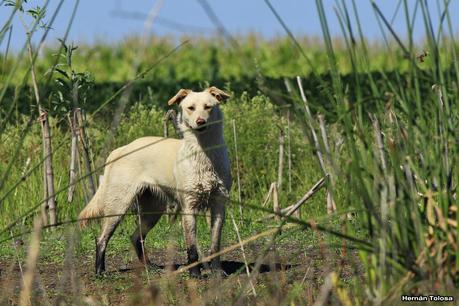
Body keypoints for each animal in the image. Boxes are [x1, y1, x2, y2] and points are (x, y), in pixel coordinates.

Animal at [78, 86, 234, 278]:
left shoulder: (219, 205)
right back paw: (100, 271)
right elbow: (191, 248)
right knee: (101, 239)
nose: (200, 122)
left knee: (136, 237)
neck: (204, 154)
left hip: (153, 210)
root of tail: (121, 149)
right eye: (190, 108)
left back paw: (149, 267)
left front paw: (217, 272)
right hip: (118, 206)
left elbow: (215, 245)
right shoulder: (189, 207)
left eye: (208, 107)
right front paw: (195, 275)